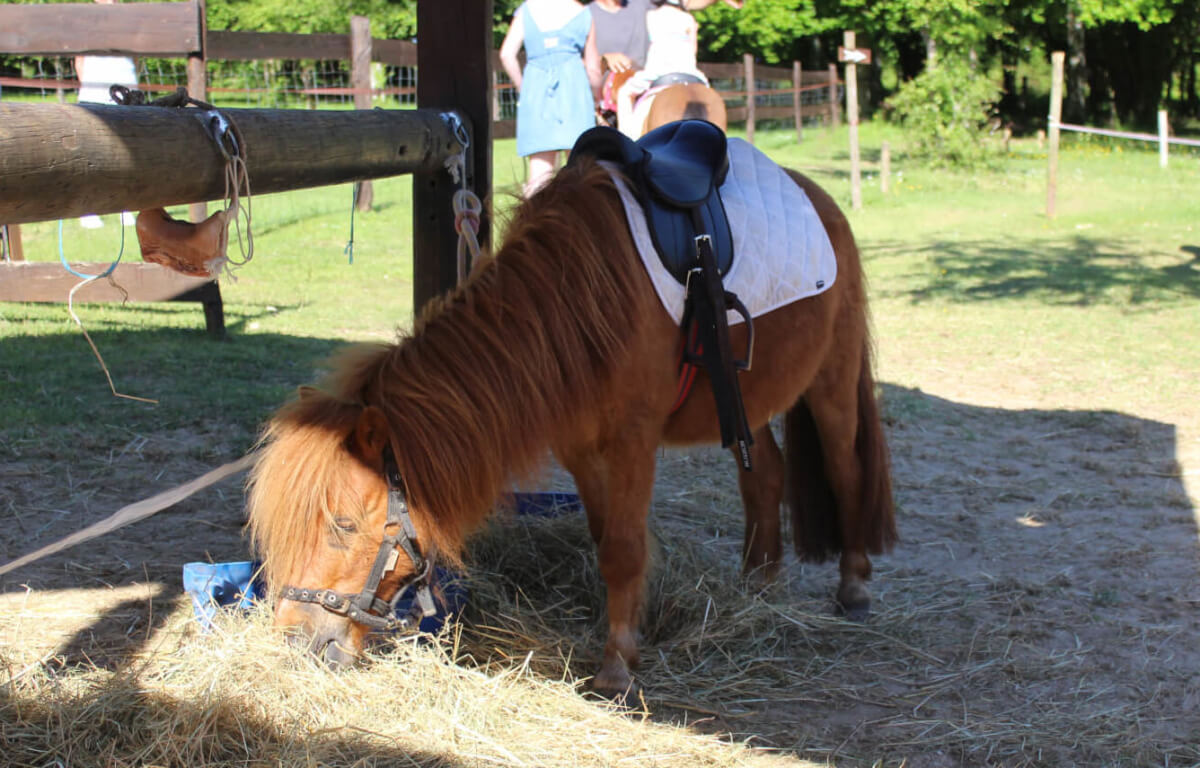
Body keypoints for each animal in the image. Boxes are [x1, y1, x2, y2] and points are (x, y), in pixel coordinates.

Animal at [246, 147, 892, 691]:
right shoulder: (580, 449)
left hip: (833, 385)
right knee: (765, 476)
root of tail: (820, 198)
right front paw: (625, 642)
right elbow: (605, 540)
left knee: (846, 472)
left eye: (344, 525)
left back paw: (855, 585)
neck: (578, 309)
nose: (296, 639)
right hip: (744, 400)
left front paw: (617, 670)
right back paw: (759, 586)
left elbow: (625, 550)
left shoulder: (632, 442)